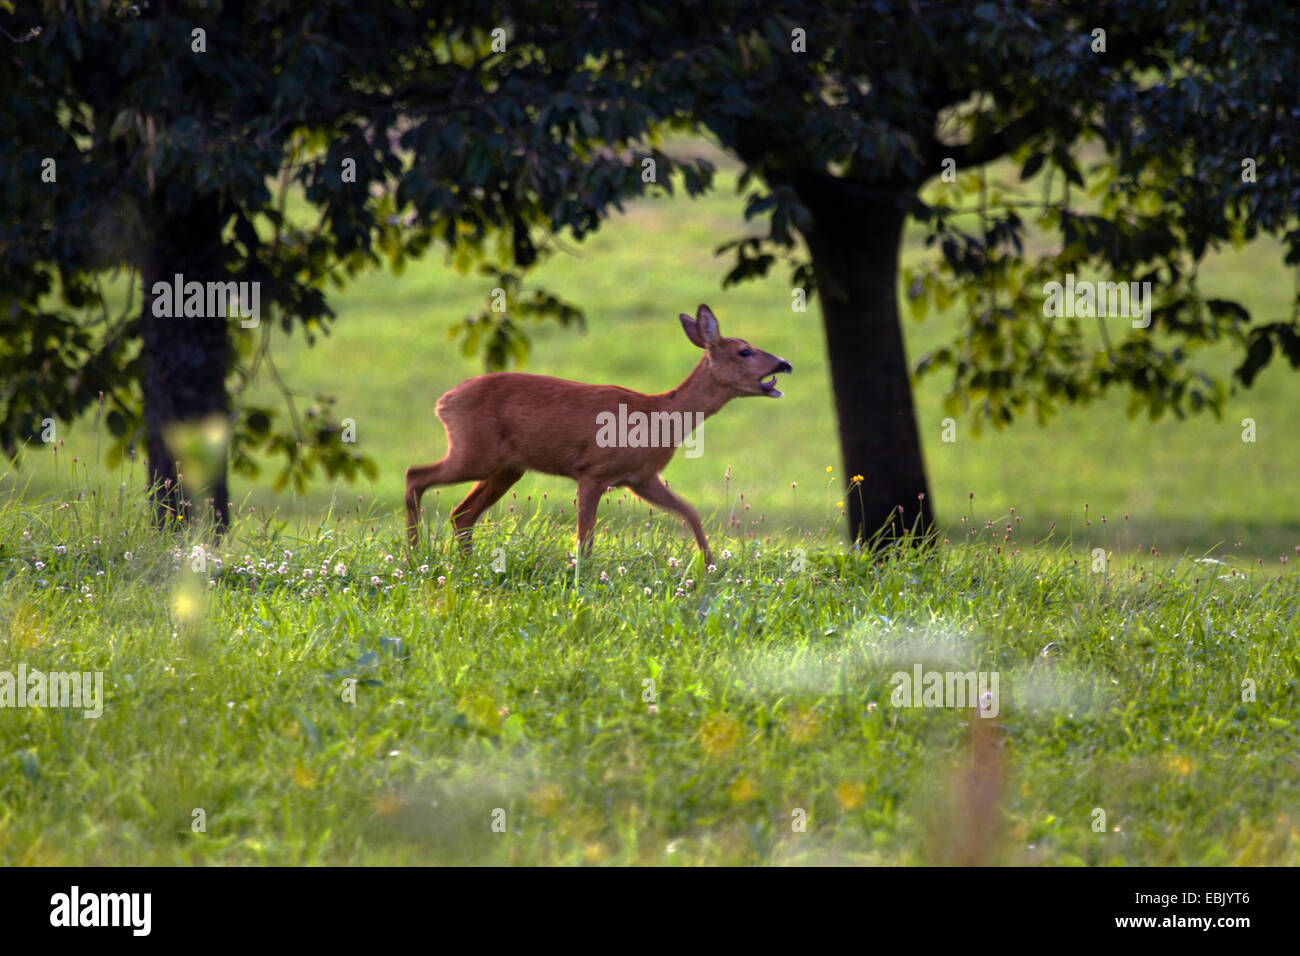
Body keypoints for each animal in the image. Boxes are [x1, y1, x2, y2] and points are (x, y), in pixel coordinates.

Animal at [404, 304, 792, 565]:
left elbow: (690, 511)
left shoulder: (642, 478)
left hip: (507, 467)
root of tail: (444, 402)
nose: (784, 363)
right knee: (416, 475)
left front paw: (709, 565)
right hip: (475, 451)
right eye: (745, 350)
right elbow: (584, 537)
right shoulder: (593, 470)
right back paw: (414, 552)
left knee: (462, 514)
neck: (657, 418)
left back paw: (460, 562)